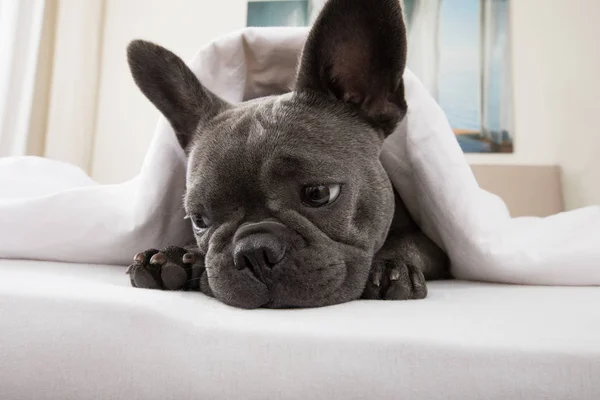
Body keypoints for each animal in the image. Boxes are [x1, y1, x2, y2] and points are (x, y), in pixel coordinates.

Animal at [125, 0, 450, 310]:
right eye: (199, 220)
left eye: (319, 193)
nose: (253, 251)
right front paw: (176, 255)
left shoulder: (438, 248)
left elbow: (410, 243)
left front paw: (391, 266)